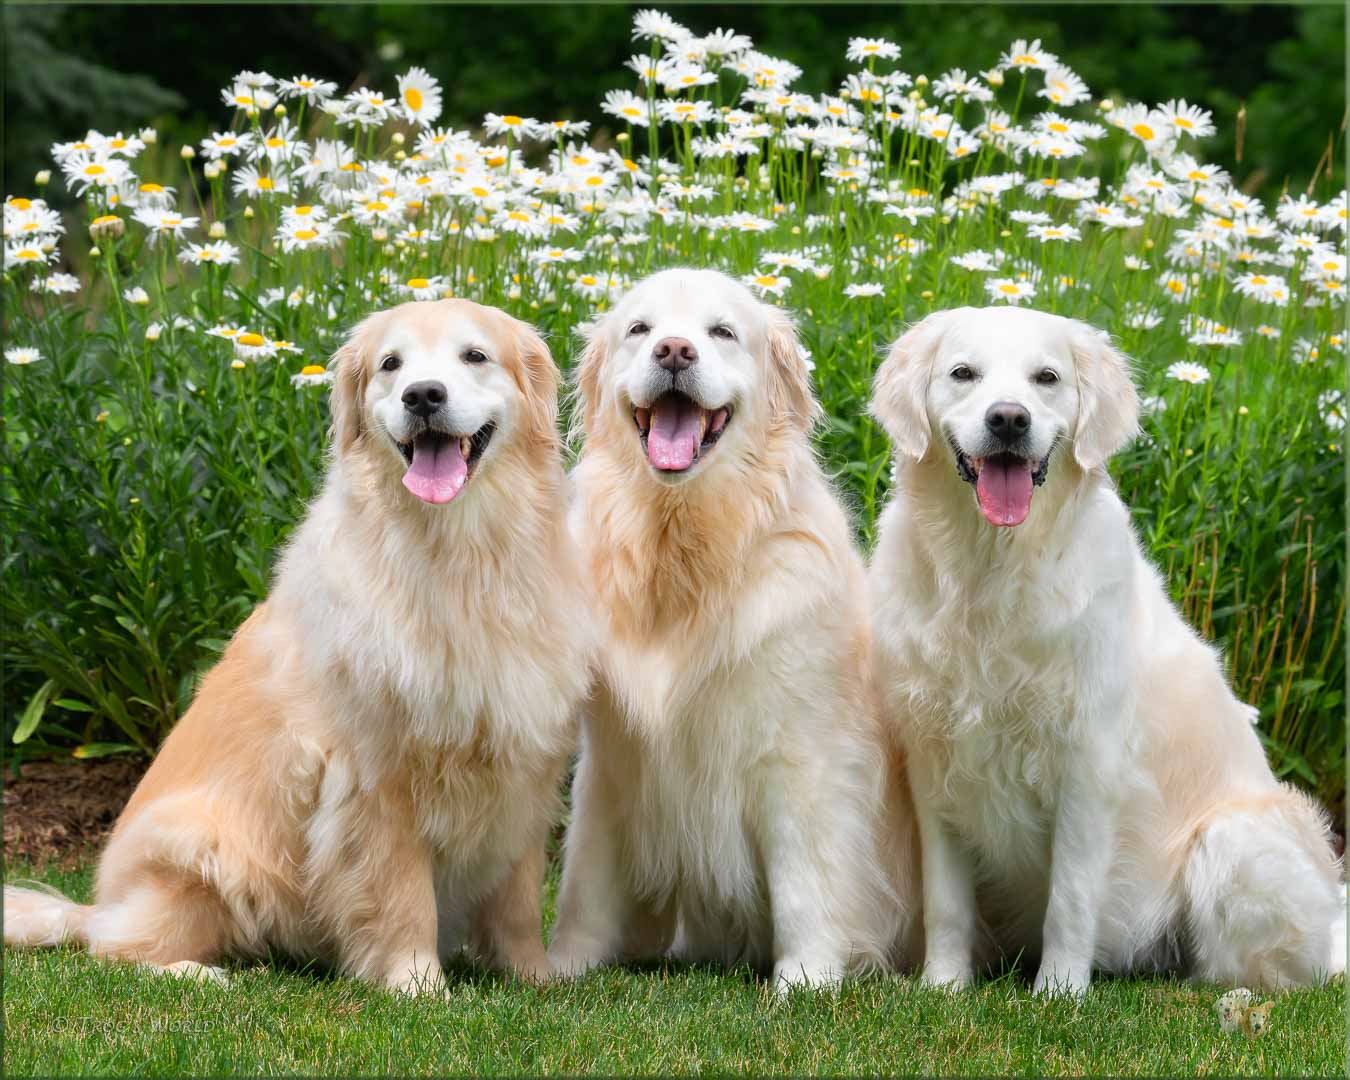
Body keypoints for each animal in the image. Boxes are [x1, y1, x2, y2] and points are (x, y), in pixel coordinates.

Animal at [3, 299, 591, 993]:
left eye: (474, 355)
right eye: (391, 364)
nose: (422, 395)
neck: (462, 555)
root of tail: (98, 904)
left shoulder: (524, 770)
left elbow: (518, 899)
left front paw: (536, 977)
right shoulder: (376, 778)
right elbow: (402, 896)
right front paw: (416, 983)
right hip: (201, 848)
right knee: (113, 948)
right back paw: (199, 973)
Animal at [542, 265, 923, 993]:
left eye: (721, 331)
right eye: (640, 328)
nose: (673, 352)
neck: (684, 547)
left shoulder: (799, 760)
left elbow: (808, 881)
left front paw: (805, 978)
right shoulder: (612, 766)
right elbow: (586, 883)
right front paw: (563, 965)